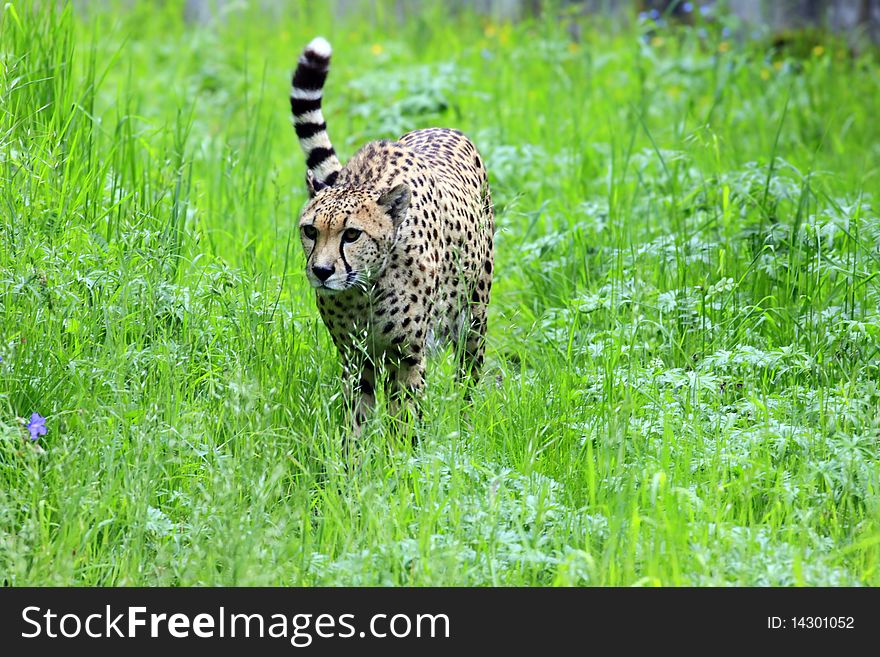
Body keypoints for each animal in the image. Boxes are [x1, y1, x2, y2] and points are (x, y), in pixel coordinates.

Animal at [290, 37, 492, 430]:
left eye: (352, 235)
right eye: (310, 231)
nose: (321, 271)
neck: (363, 290)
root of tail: (444, 128)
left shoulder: (407, 356)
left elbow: (406, 421)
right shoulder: (355, 358)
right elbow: (357, 419)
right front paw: (354, 448)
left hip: (474, 315)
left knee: (469, 374)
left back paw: (468, 421)